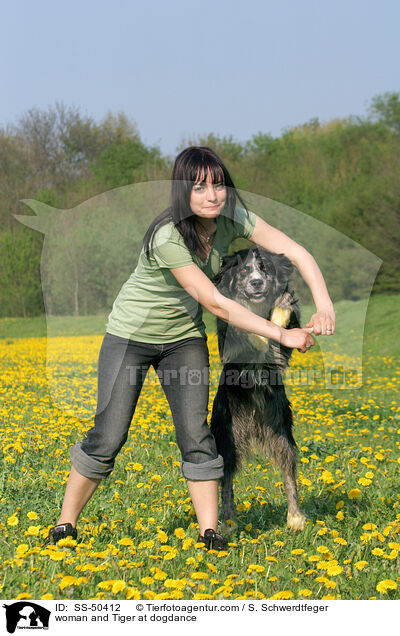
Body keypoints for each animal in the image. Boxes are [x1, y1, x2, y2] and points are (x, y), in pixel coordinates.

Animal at [209, 248, 306, 532]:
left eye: (264, 268)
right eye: (243, 270)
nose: (256, 283)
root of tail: (254, 426)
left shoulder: (282, 350)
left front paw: (282, 305)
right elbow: (241, 326)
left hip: (282, 432)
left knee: (289, 474)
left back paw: (295, 518)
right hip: (227, 435)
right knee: (226, 481)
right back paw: (228, 522)